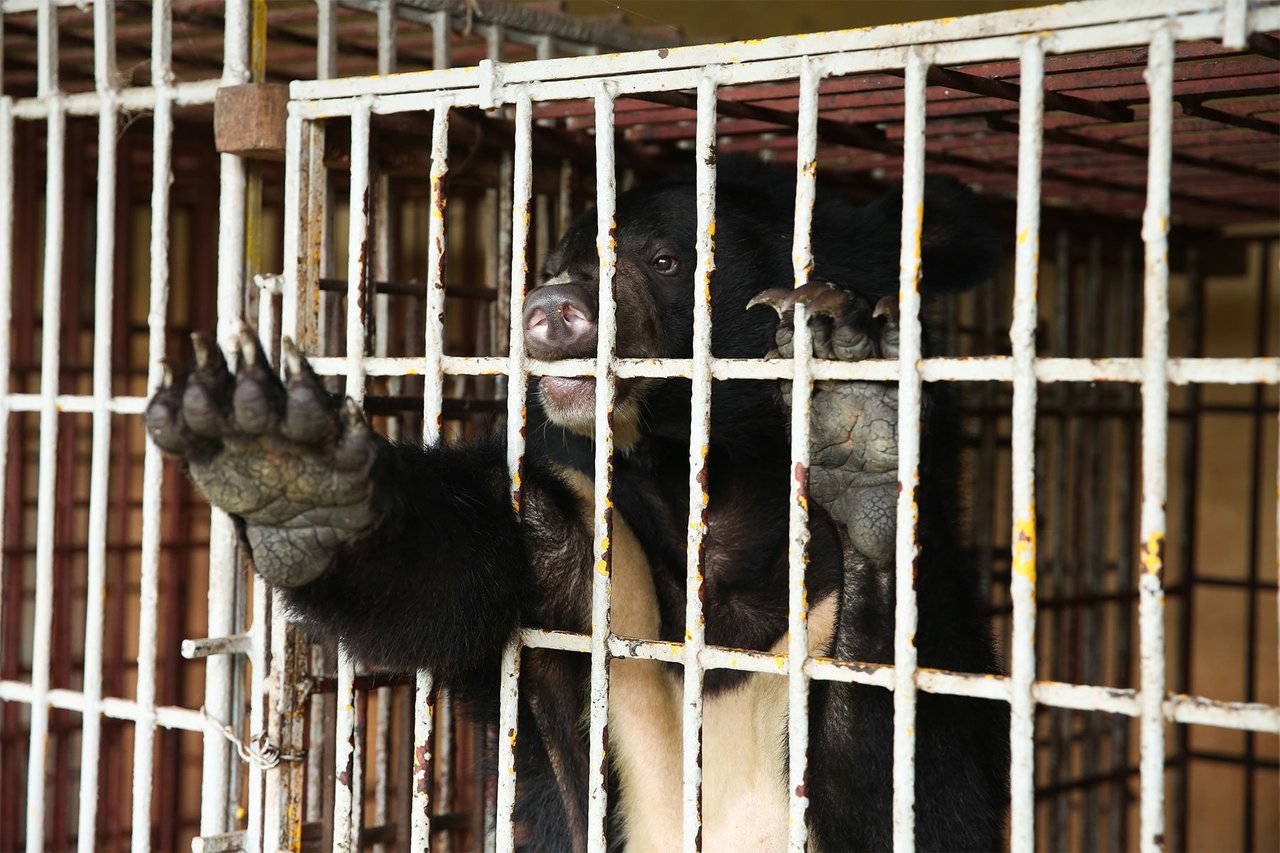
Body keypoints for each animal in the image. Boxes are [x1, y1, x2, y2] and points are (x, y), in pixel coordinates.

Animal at [147, 162, 1008, 845]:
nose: (552, 306)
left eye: (666, 259)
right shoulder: (586, 539)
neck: (699, 488)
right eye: (560, 262)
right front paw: (283, 469)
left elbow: (920, 770)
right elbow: (450, 572)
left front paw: (855, 418)